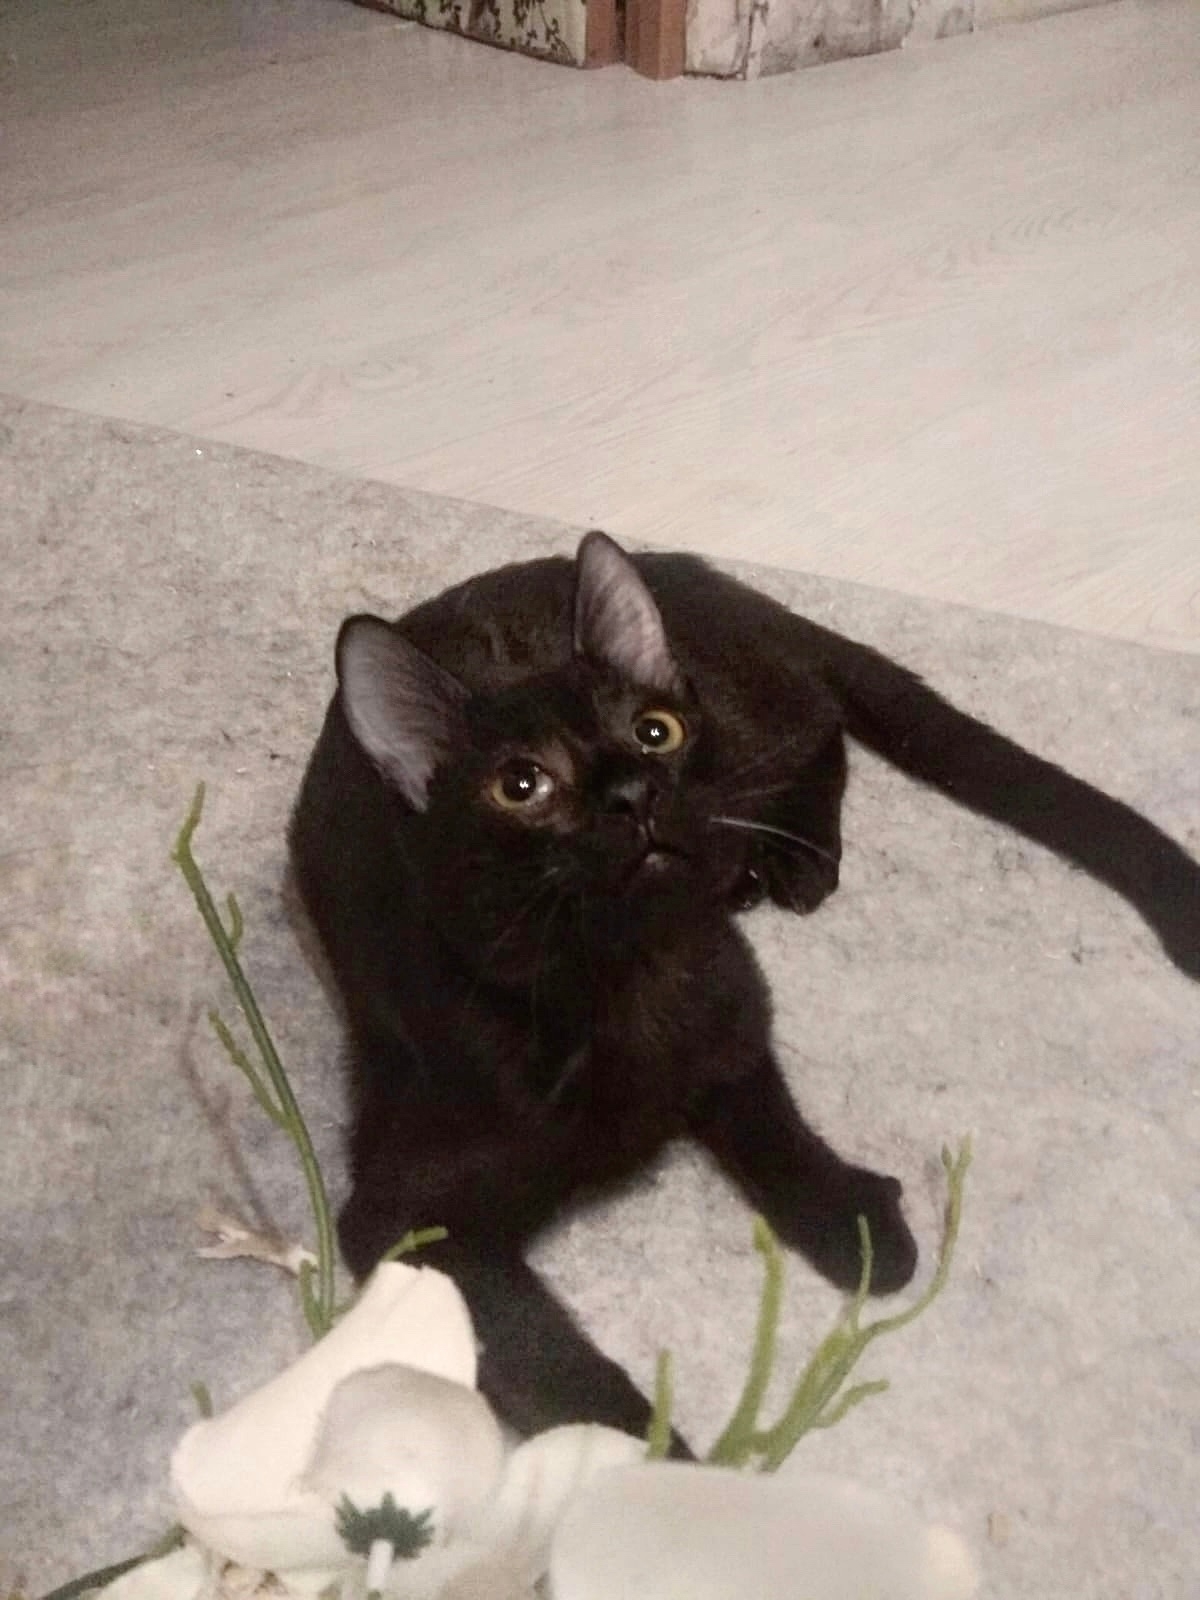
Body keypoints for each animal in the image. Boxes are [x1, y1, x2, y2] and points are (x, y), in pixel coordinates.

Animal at [290, 531, 1199, 1449]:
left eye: (654, 732)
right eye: (521, 785)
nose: (632, 792)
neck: (624, 979)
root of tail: (687, 566)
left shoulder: (734, 1009)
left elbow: (771, 1125)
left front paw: (856, 1226)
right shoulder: (410, 1221)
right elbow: (550, 1360)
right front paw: (650, 1463)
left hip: (745, 748)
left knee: (819, 729)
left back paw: (799, 857)